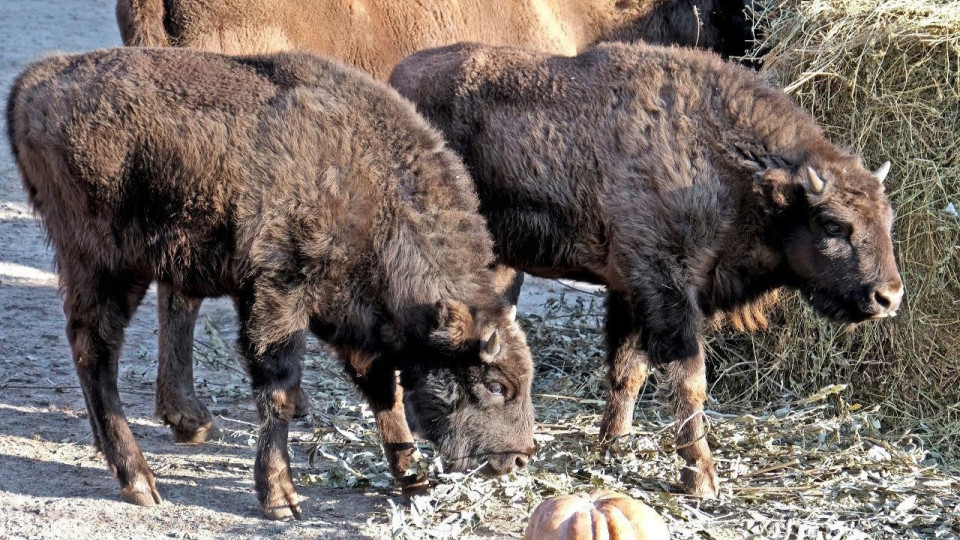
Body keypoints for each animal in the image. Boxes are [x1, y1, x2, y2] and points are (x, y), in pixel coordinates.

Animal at [7, 46, 536, 520]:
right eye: (496, 385)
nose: (516, 458)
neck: (373, 190)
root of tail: (32, 84)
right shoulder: (279, 296)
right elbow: (279, 388)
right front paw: (281, 498)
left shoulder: (354, 320)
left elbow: (385, 393)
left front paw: (413, 479)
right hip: (105, 267)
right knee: (95, 352)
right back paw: (139, 481)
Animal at [388, 42, 900, 498]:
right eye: (832, 224)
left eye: (888, 218)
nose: (888, 297)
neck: (722, 162)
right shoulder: (664, 288)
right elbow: (687, 381)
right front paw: (701, 478)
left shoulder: (629, 291)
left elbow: (626, 372)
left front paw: (611, 447)